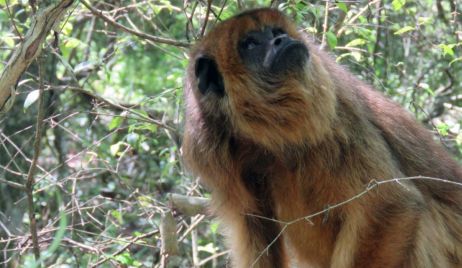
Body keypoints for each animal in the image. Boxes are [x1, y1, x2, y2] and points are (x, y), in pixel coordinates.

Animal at [181, 8, 462, 268]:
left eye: (275, 32)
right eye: (250, 44)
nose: (282, 38)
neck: (260, 134)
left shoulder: (332, 108)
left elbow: (389, 202)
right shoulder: (205, 149)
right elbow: (255, 225)